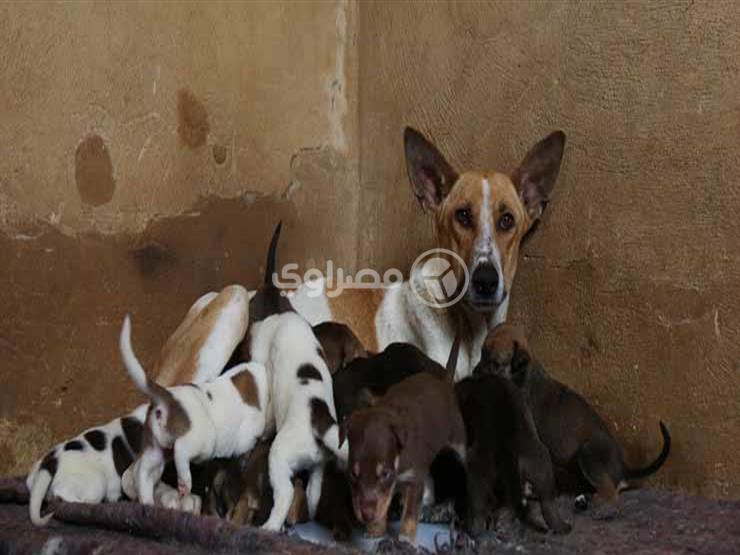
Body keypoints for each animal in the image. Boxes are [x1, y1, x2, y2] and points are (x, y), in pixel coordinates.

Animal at [120, 314, 270, 506]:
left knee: (144, 473)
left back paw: (147, 500)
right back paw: (184, 484)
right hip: (201, 441)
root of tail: (170, 399)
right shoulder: (246, 440)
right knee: (181, 452)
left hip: (154, 449)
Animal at [340, 338, 462, 544]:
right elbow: (383, 503)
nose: (366, 516)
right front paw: (376, 529)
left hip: (457, 437)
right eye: (353, 475)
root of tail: (443, 382)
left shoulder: (415, 479)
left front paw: (405, 539)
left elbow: (410, 513)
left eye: (385, 474)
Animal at [456, 372, 572, 536]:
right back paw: (561, 526)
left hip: (478, 469)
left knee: (478, 505)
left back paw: (474, 530)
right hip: (540, 461)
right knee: (548, 502)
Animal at [480, 324, 672, 506]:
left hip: (588, 453)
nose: (475, 373)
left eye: (495, 363)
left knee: (611, 494)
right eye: (481, 354)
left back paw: (595, 499)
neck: (520, 376)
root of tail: (623, 469)